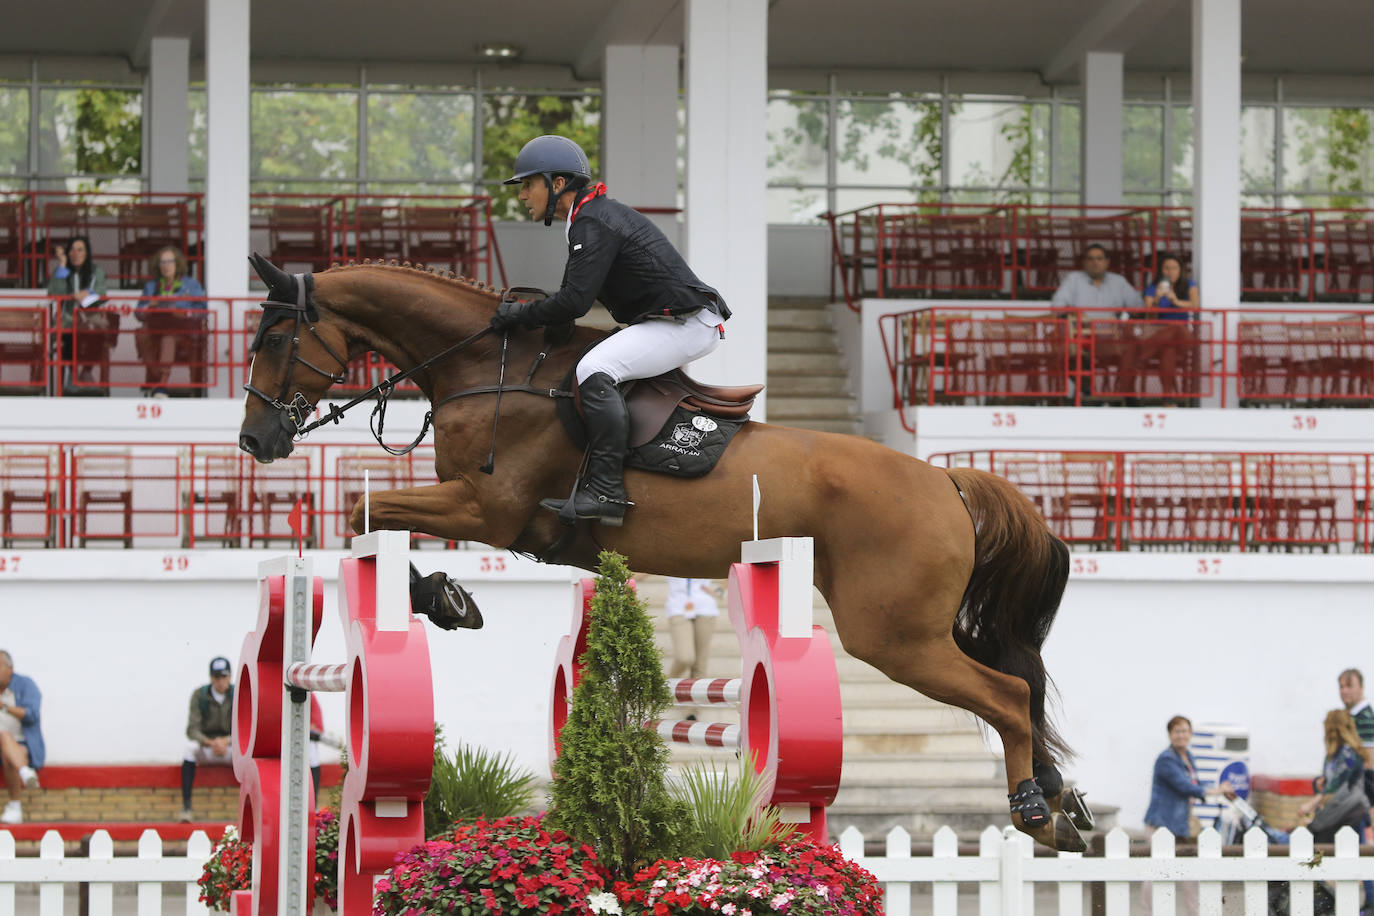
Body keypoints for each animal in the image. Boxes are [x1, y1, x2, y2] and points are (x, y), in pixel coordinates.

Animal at [239, 254, 1093, 851]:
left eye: (276, 338)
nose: (256, 441)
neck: (488, 370)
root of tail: (947, 482)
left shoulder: (489, 510)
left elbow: (361, 507)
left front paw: (445, 598)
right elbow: (365, 513)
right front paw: (448, 595)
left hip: (892, 635)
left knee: (1006, 694)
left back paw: (1036, 813)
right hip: (913, 629)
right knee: (1020, 683)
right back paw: (1062, 798)